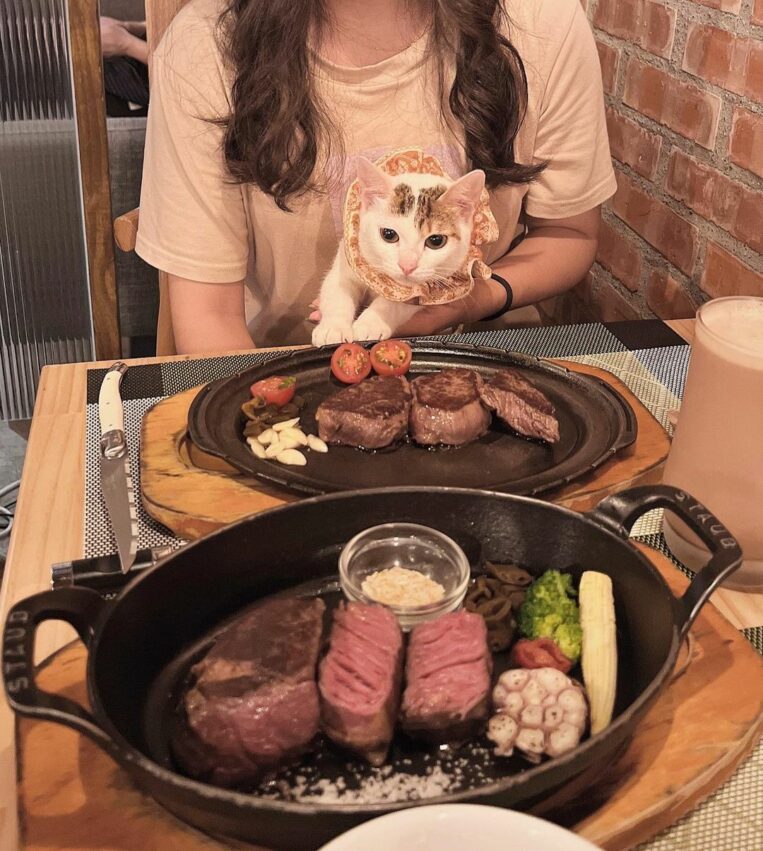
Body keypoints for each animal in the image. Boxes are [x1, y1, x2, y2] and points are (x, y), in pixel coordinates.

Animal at [314, 156, 486, 346]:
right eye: (388, 234)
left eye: (436, 241)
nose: (407, 266)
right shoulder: (349, 257)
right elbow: (337, 290)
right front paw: (332, 328)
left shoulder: (426, 293)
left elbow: (396, 303)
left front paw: (371, 322)